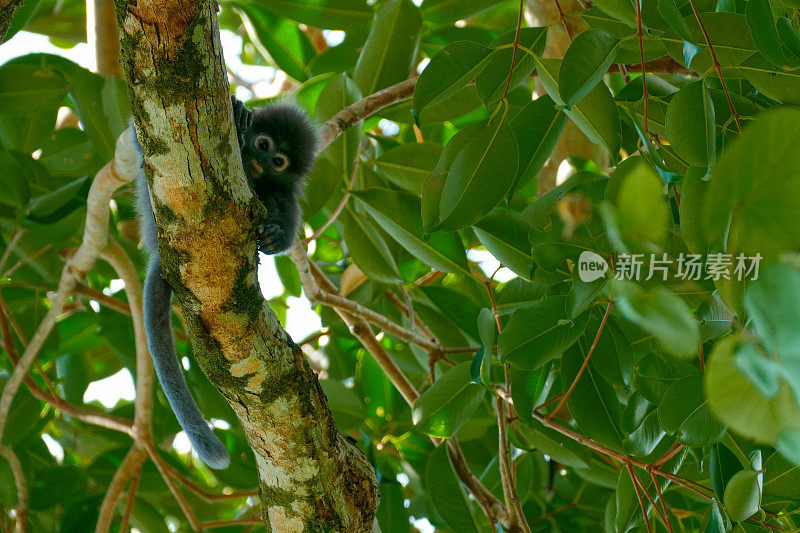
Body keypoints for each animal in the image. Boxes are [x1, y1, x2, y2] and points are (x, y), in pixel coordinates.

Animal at [134, 97, 316, 468]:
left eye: (278, 161)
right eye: (263, 144)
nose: (261, 161)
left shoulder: (285, 186)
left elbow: (288, 214)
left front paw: (275, 236)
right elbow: (136, 141)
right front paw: (239, 110)